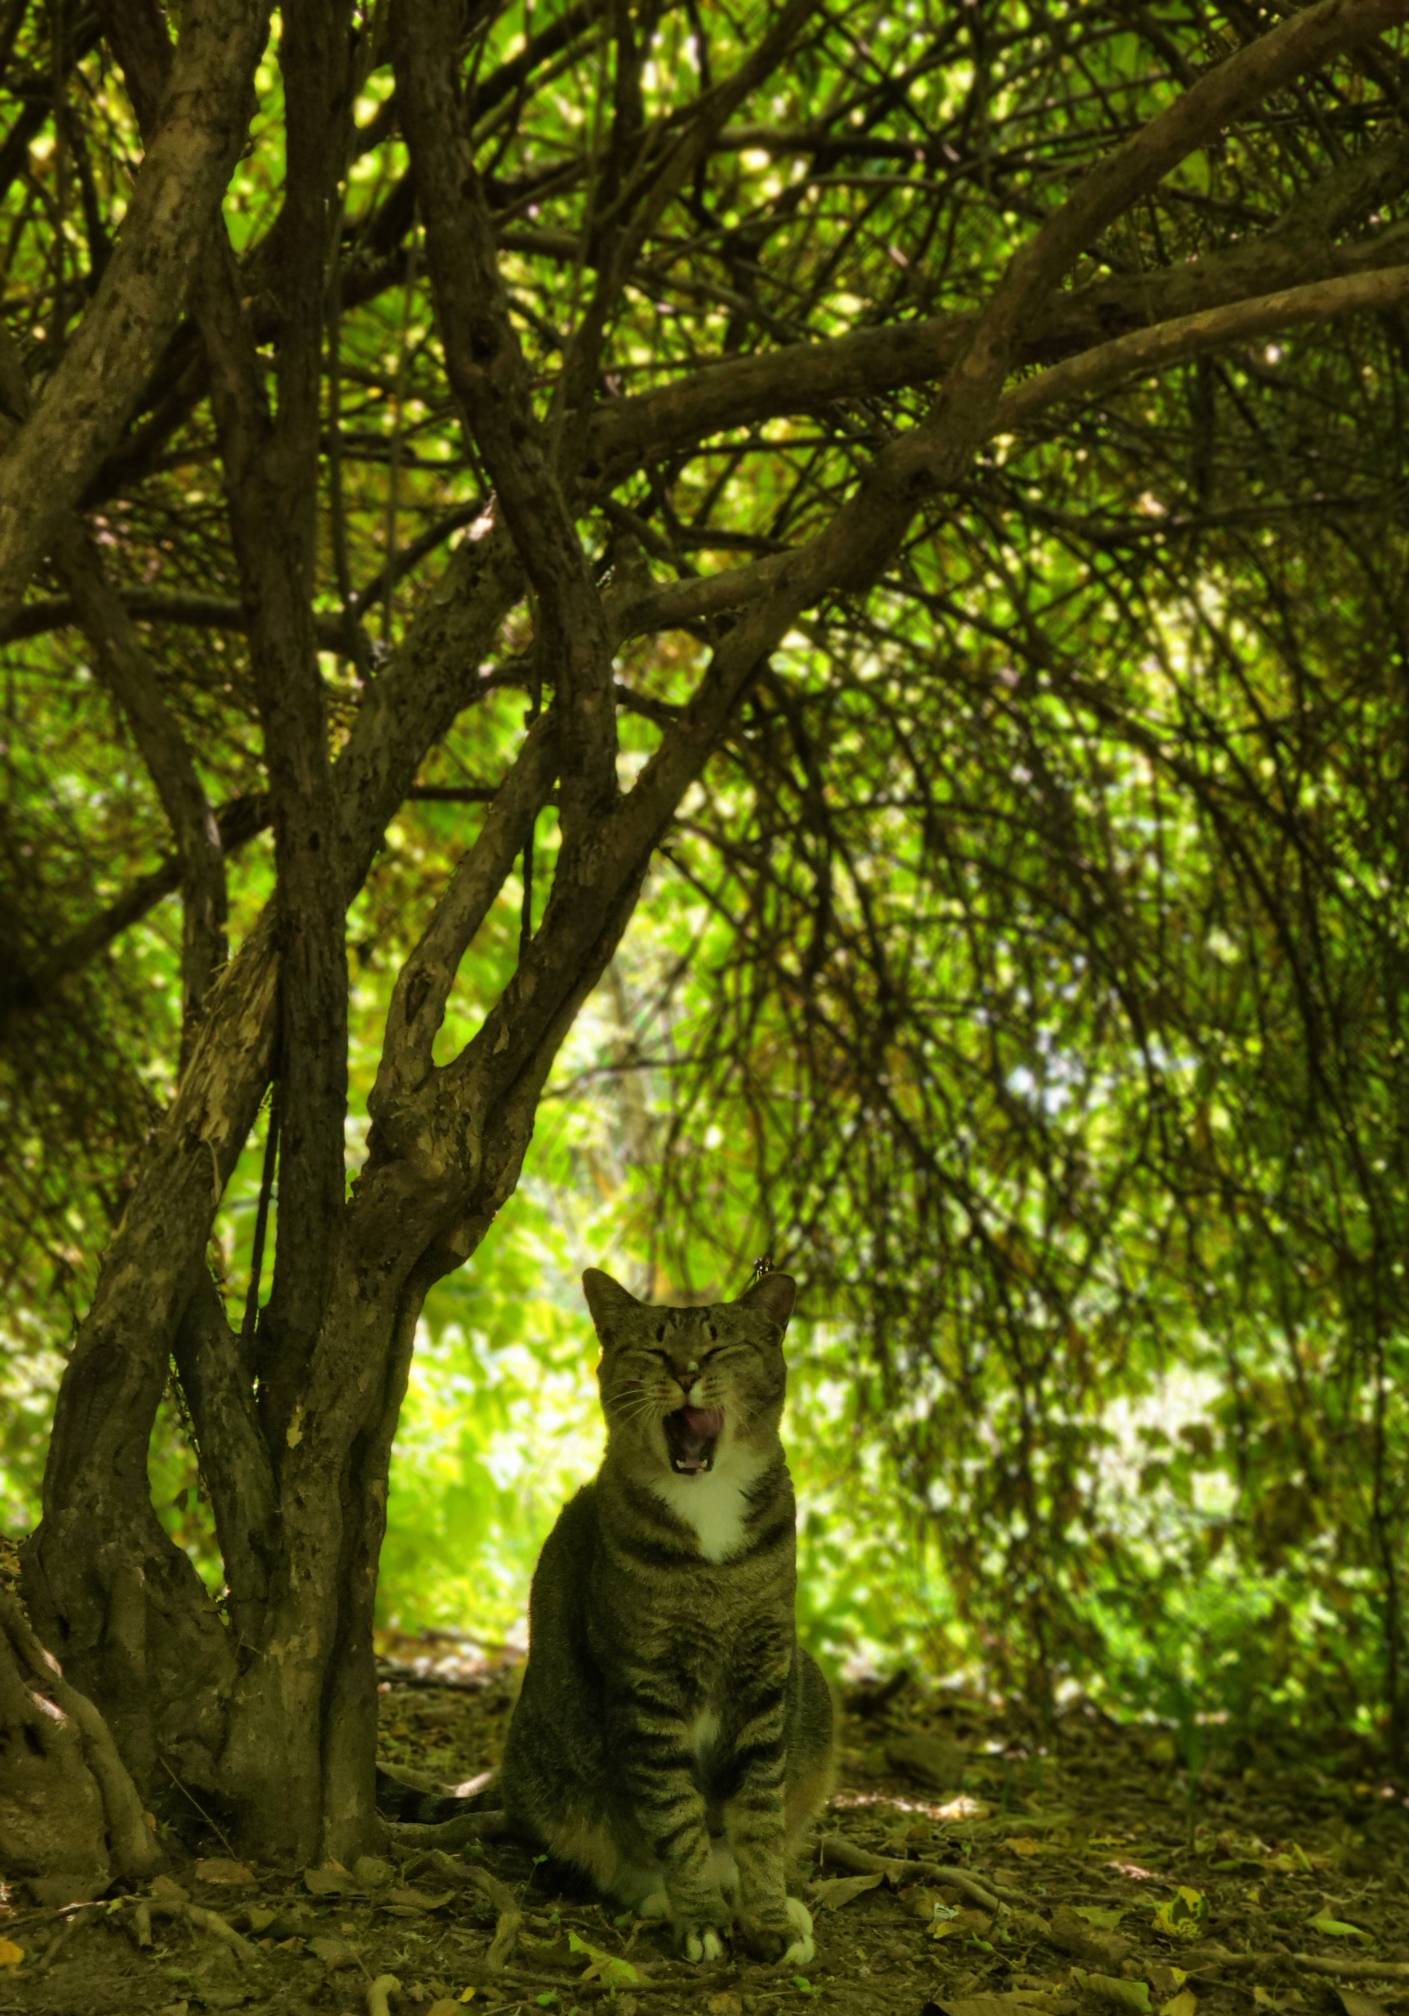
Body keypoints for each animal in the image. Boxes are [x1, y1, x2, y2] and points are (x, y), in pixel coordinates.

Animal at [380, 1266, 830, 1959]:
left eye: (719, 1346)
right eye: (654, 1348)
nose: (686, 1370)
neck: (708, 1509)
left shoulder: (764, 1676)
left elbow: (759, 1814)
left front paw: (768, 1918)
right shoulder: (645, 1685)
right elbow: (675, 1814)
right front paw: (700, 1916)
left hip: (814, 1689)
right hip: (553, 1764)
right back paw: (659, 1896)